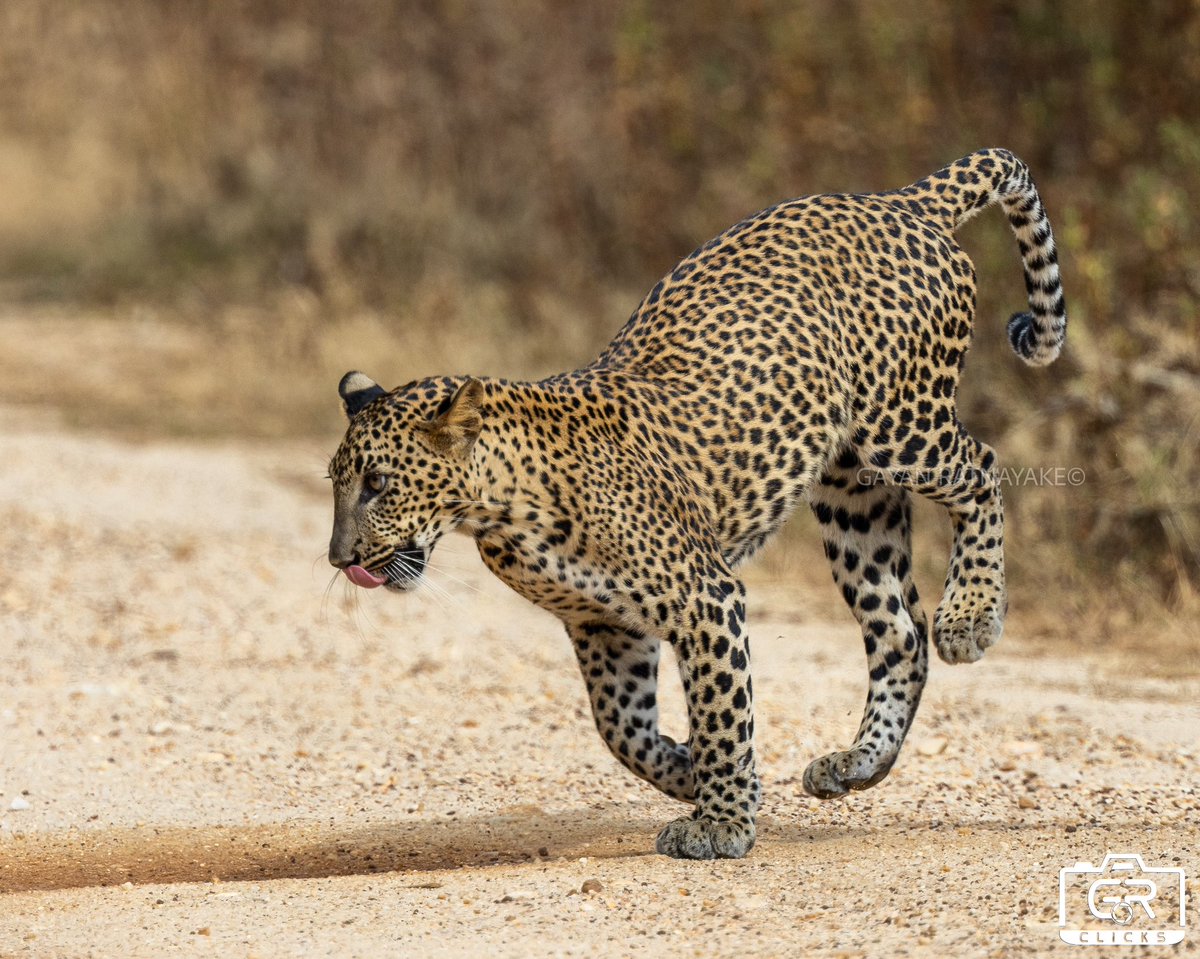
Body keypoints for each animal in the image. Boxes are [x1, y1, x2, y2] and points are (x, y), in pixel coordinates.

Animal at [326, 150, 1070, 864]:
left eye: (378, 483)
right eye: (337, 482)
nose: (339, 557)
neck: (502, 508)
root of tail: (897, 200)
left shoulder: (703, 597)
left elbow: (719, 708)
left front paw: (721, 822)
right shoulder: (603, 624)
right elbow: (621, 729)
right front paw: (694, 774)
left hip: (901, 429)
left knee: (982, 471)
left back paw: (970, 616)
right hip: (852, 496)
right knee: (899, 628)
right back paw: (859, 761)